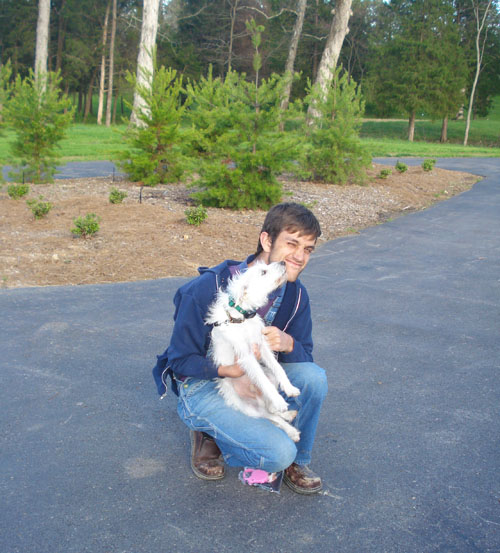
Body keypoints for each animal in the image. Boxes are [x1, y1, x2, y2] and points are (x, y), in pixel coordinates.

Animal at [205, 261, 301, 442]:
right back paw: (289, 427)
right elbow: (262, 380)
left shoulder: (262, 345)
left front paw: (290, 388)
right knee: (271, 416)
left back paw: (287, 416)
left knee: (272, 411)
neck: (242, 318)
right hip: (250, 410)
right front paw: (280, 400)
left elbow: (278, 368)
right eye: (263, 272)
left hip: (269, 381)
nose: (283, 262)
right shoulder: (247, 356)